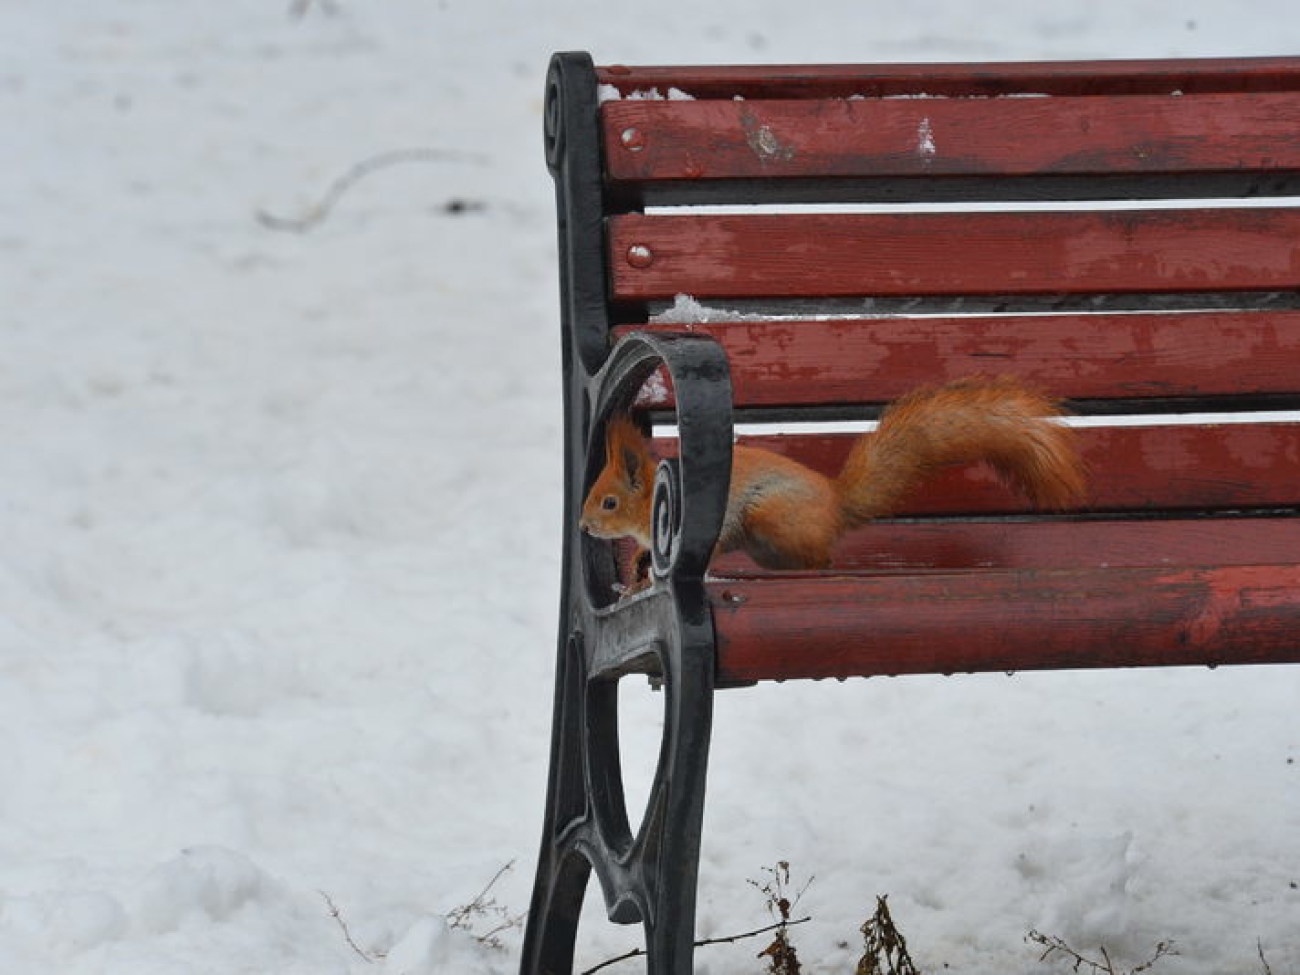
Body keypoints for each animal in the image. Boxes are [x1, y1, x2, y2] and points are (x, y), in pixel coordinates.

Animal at [582, 371, 1086, 572]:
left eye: (609, 501)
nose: (584, 527)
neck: (652, 505)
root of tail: (835, 502)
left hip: (771, 514)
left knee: (821, 559)